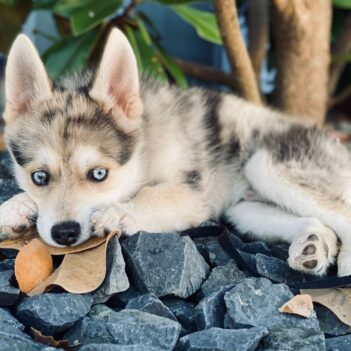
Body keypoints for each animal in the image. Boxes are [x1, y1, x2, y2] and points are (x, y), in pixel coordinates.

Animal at [0, 28, 350, 278]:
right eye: (39, 177)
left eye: (98, 174)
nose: (65, 233)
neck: (144, 150)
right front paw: (14, 208)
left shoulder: (194, 194)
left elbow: (149, 196)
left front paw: (118, 211)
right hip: (245, 209)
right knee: (319, 223)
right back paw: (312, 247)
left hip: (268, 165)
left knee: (343, 214)